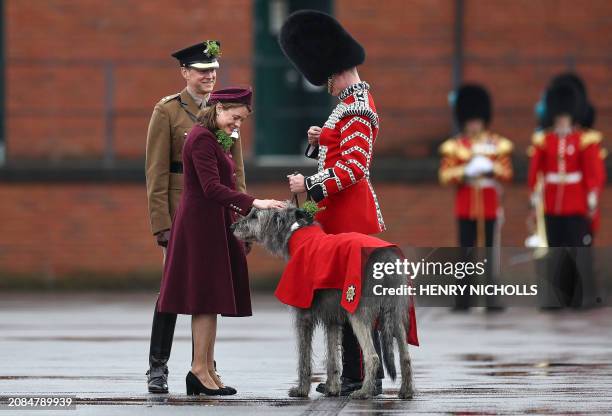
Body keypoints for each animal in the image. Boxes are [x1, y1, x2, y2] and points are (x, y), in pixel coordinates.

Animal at [231, 205, 416, 400]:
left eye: (254, 215)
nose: (232, 227)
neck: (295, 232)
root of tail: (387, 257)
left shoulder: (303, 315)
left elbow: (303, 357)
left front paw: (301, 390)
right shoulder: (332, 317)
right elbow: (332, 358)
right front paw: (332, 388)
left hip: (358, 311)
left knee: (372, 356)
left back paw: (364, 392)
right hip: (396, 313)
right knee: (405, 356)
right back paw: (406, 391)